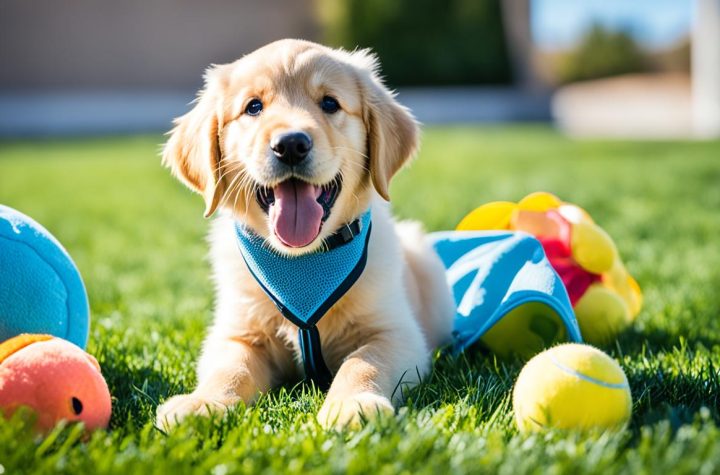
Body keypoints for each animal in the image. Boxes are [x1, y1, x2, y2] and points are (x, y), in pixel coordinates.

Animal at [155, 39, 452, 430]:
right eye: (254, 107)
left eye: (329, 103)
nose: (291, 144)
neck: (302, 262)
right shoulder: (236, 333)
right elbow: (229, 369)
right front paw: (203, 403)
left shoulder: (395, 332)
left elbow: (364, 363)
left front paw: (352, 404)